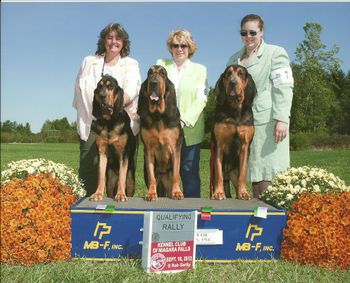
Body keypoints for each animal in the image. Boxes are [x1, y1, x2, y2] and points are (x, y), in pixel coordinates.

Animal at [90, 74, 135, 203]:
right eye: (99, 87)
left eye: (110, 87)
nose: (102, 96)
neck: (109, 122)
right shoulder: (102, 153)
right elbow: (100, 176)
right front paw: (98, 194)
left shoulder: (123, 154)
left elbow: (122, 177)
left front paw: (120, 195)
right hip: (110, 181)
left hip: (131, 182)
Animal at [138, 65, 185, 201]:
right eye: (149, 73)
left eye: (163, 74)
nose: (154, 82)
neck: (158, 116)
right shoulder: (148, 150)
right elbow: (151, 176)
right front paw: (151, 193)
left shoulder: (175, 148)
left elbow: (175, 174)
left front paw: (177, 192)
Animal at [211, 65, 258, 202]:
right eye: (228, 74)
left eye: (241, 74)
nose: (233, 83)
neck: (234, 110)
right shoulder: (219, 146)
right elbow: (219, 176)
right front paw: (218, 193)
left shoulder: (245, 146)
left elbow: (243, 174)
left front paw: (244, 193)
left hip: (233, 173)